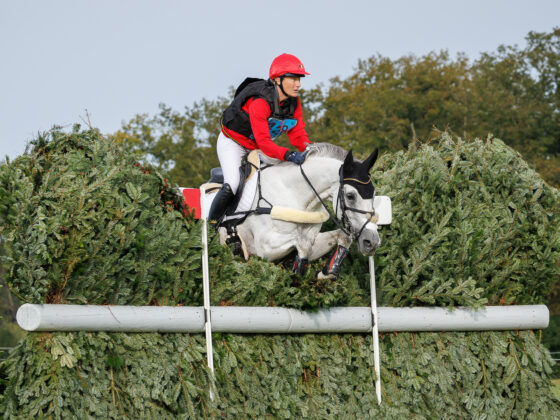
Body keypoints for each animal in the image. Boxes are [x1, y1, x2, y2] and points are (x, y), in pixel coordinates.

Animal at [208, 144, 378, 278]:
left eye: (374, 194)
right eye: (350, 196)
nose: (371, 242)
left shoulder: (313, 238)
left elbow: (342, 237)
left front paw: (326, 273)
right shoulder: (264, 248)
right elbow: (302, 243)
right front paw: (297, 269)